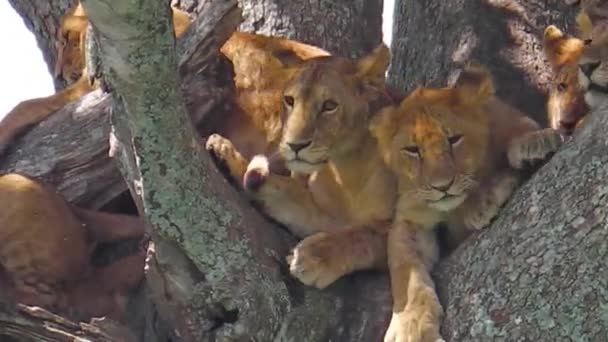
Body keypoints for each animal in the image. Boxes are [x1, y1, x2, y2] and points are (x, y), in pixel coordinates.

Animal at [207, 43, 402, 288]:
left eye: (330, 106)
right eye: (290, 101)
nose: (295, 145)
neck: (347, 169)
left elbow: (364, 236)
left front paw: (312, 259)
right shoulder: (326, 214)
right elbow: (283, 190)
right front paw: (225, 155)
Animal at [368, 62, 564, 342]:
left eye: (454, 139)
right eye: (413, 150)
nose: (442, 186)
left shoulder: (499, 114)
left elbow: (518, 124)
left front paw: (532, 143)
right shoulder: (410, 220)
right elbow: (406, 273)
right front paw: (411, 328)